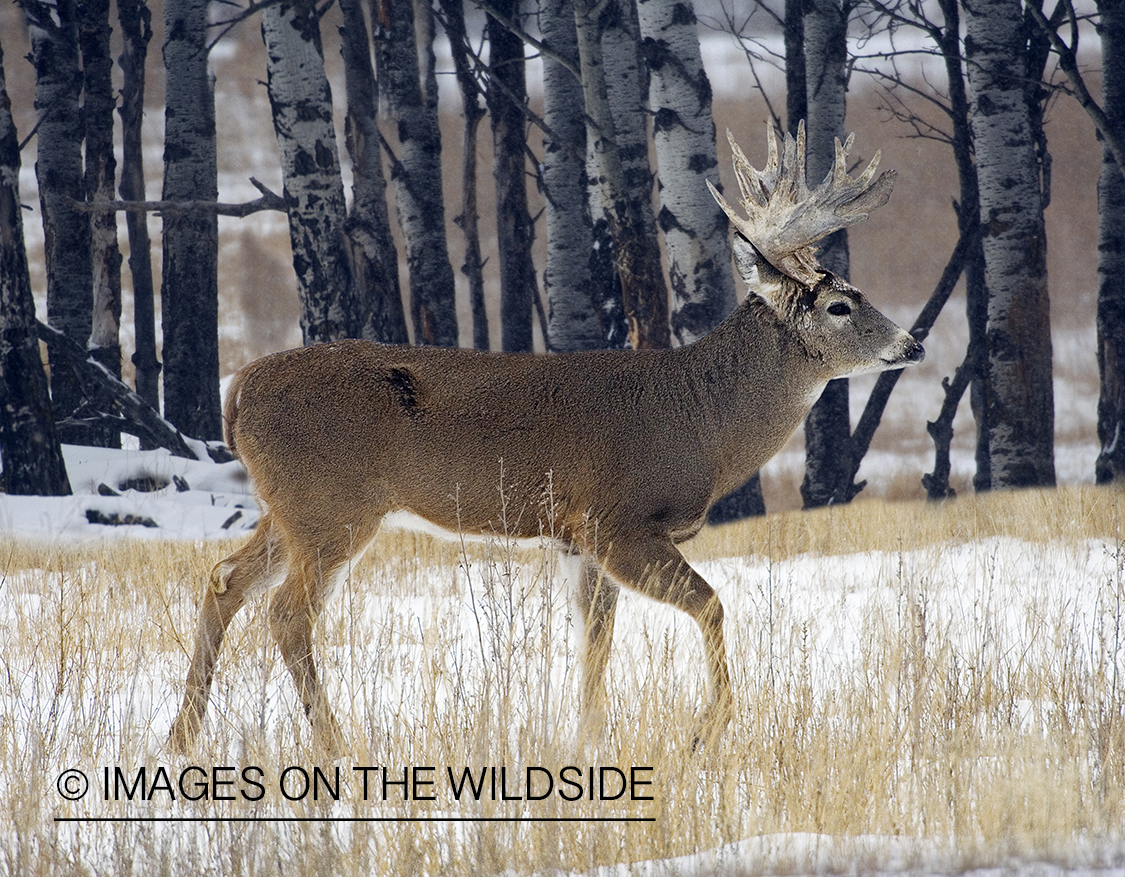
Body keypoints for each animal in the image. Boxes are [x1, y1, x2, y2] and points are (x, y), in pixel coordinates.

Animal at [166, 123, 922, 755]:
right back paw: (334, 745)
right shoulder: (619, 520)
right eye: (840, 305)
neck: (702, 419)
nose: (911, 344)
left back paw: (181, 738)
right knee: (288, 613)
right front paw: (707, 731)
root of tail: (237, 392)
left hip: (287, 507)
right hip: (332, 505)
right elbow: (710, 604)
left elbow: (596, 639)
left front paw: (584, 740)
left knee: (223, 579)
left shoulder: (576, 539)